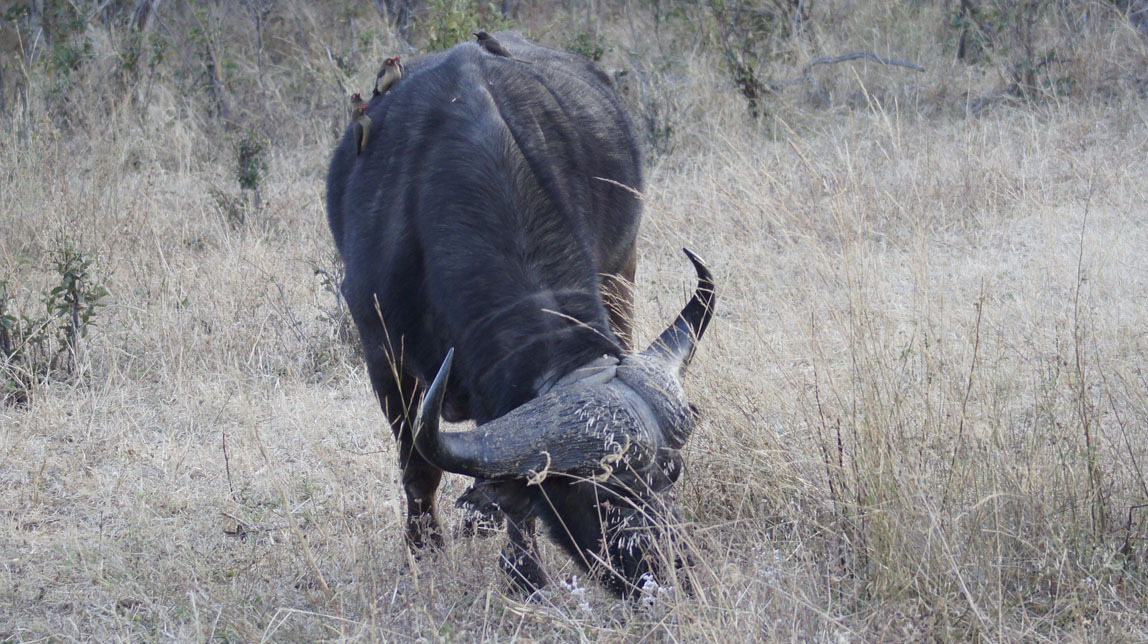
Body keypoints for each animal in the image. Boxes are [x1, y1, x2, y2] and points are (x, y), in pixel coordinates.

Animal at [323, 32, 711, 596]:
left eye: (672, 472)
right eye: (602, 494)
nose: (671, 574)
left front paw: (523, 574)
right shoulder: (382, 356)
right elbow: (419, 466)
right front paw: (425, 553)